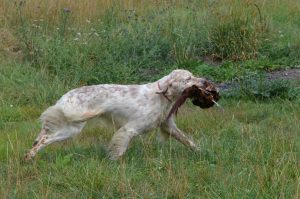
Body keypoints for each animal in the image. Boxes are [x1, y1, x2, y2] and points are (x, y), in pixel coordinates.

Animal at [24, 69, 219, 160]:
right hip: (71, 127)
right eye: (188, 79)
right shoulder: (129, 129)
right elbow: (119, 149)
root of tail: (66, 95)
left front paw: (203, 153)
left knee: (43, 133)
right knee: (43, 139)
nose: (204, 81)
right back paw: (29, 156)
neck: (161, 96)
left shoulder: (168, 126)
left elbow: (189, 141)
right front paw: (114, 162)